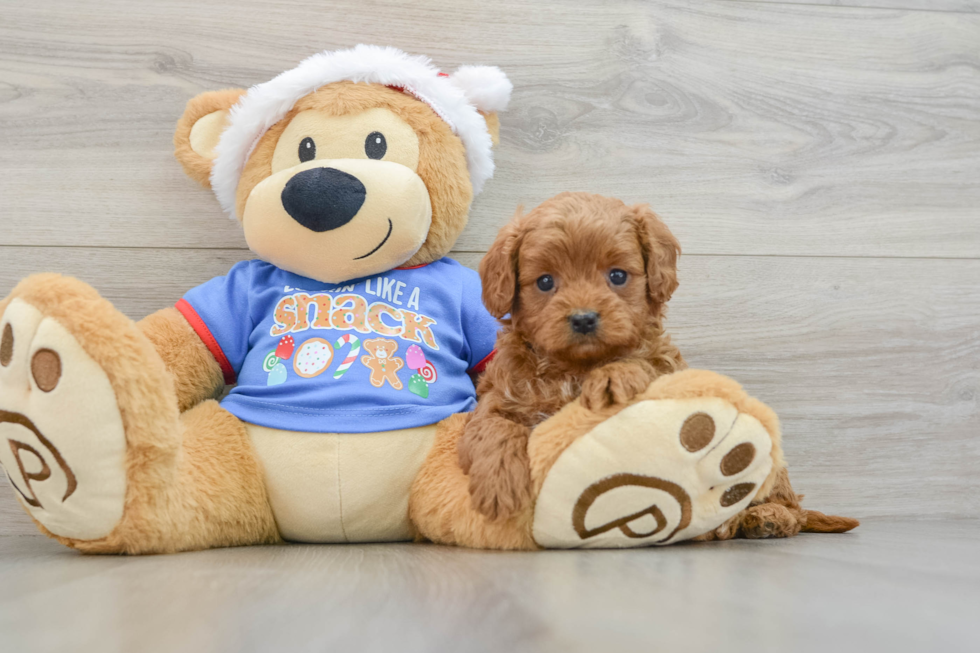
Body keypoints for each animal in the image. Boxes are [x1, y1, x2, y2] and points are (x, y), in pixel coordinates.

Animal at [462, 191, 684, 516]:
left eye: (618, 275)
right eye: (545, 281)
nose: (583, 319)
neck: (574, 367)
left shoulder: (671, 367)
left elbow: (645, 361)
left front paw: (613, 376)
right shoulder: (493, 400)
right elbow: (494, 426)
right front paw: (500, 483)